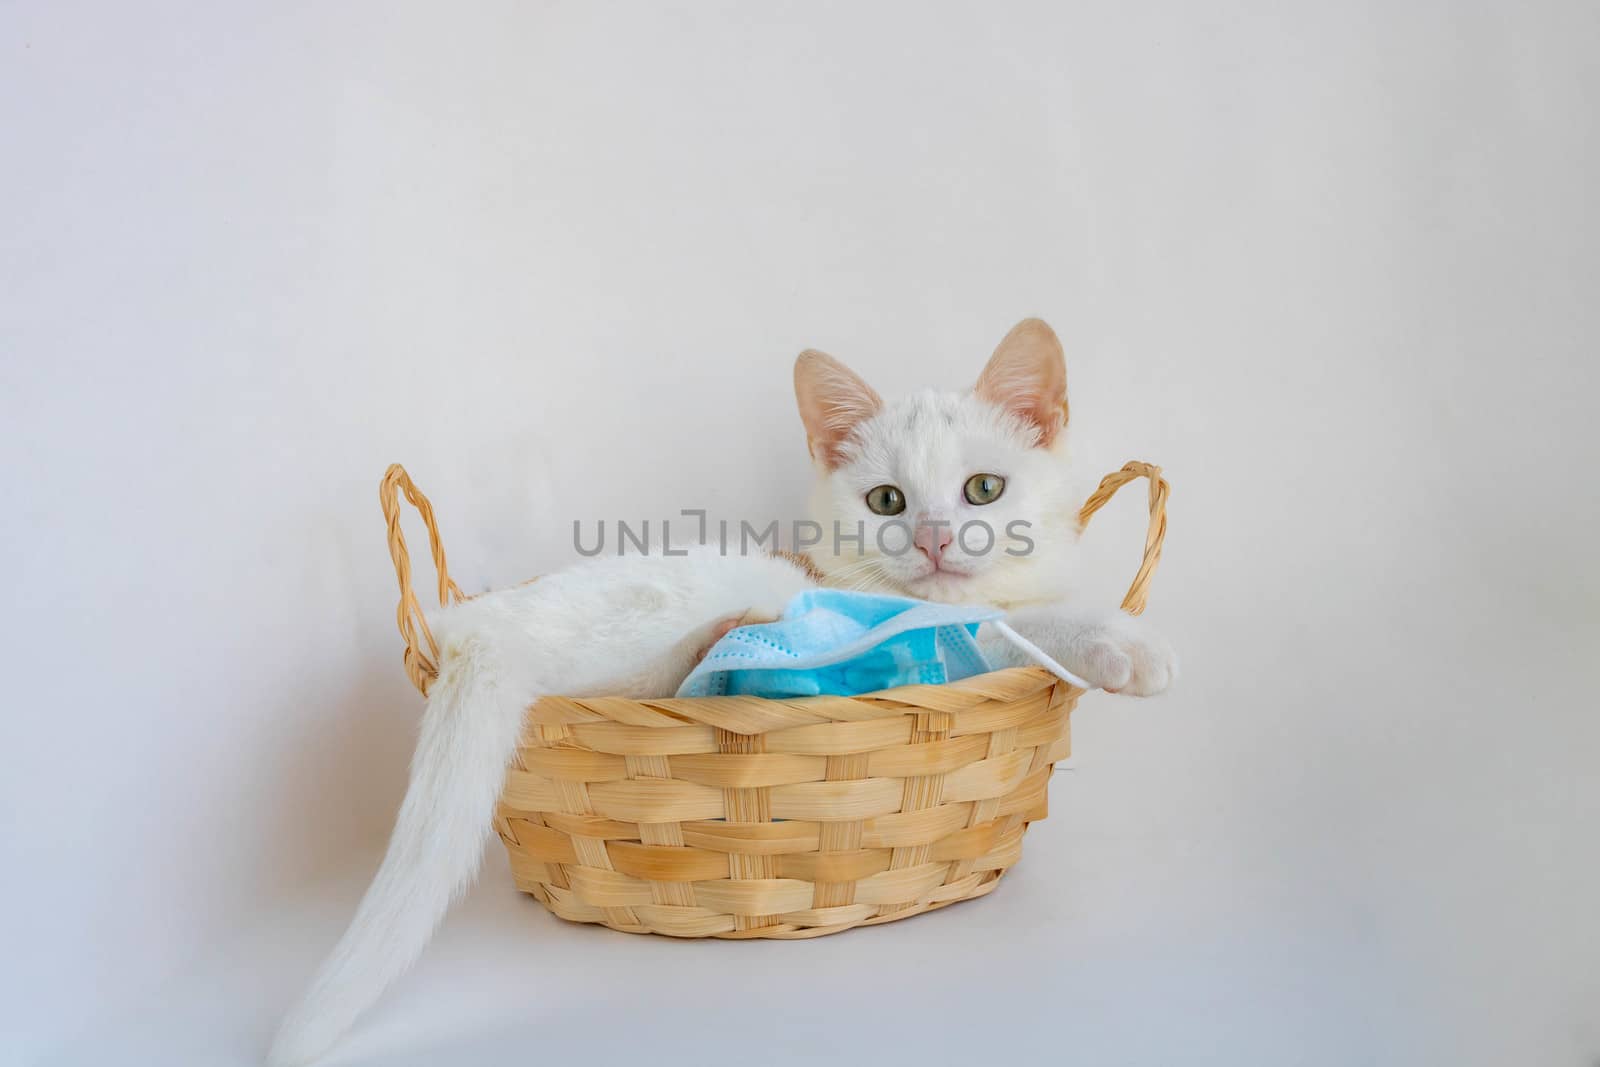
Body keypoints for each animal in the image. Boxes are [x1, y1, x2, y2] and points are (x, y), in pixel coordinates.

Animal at [268, 319, 1177, 1067]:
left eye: (985, 488)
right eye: (887, 500)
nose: (933, 540)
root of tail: (473, 628)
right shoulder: (933, 638)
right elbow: (1012, 632)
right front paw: (1122, 645)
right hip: (709, 597)